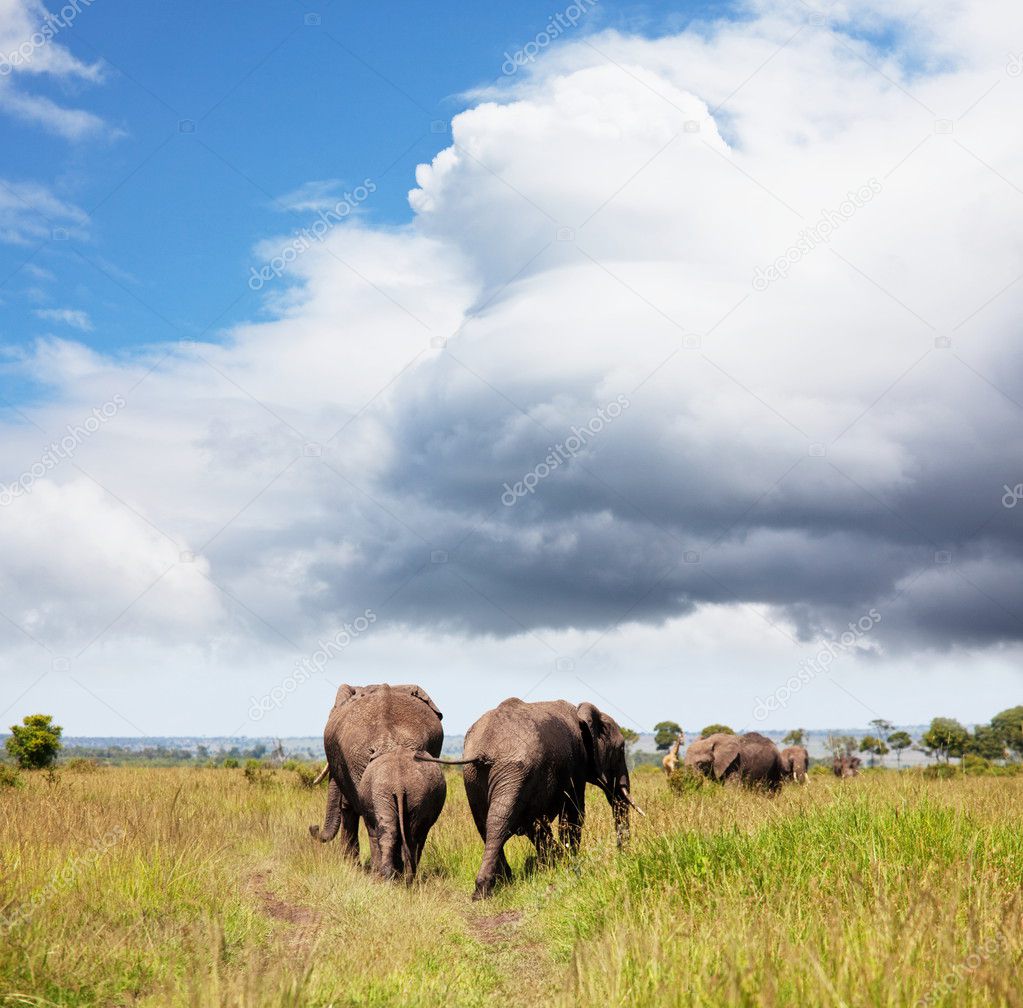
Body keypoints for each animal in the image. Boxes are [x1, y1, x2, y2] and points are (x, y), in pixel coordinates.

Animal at [358, 749, 446, 880]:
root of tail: (399, 783)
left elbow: (372, 834)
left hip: (386, 790)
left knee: (401, 834)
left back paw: (393, 877)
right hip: (409, 793)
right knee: (411, 834)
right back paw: (403, 878)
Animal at [423, 695, 638, 900]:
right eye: (621, 749)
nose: (622, 856)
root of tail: (485, 750)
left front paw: (556, 863)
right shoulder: (577, 764)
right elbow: (573, 815)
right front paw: (567, 864)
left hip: (475, 776)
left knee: (490, 824)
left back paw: (495, 885)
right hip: (517, 772)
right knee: (512, 822)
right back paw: (491, 887)